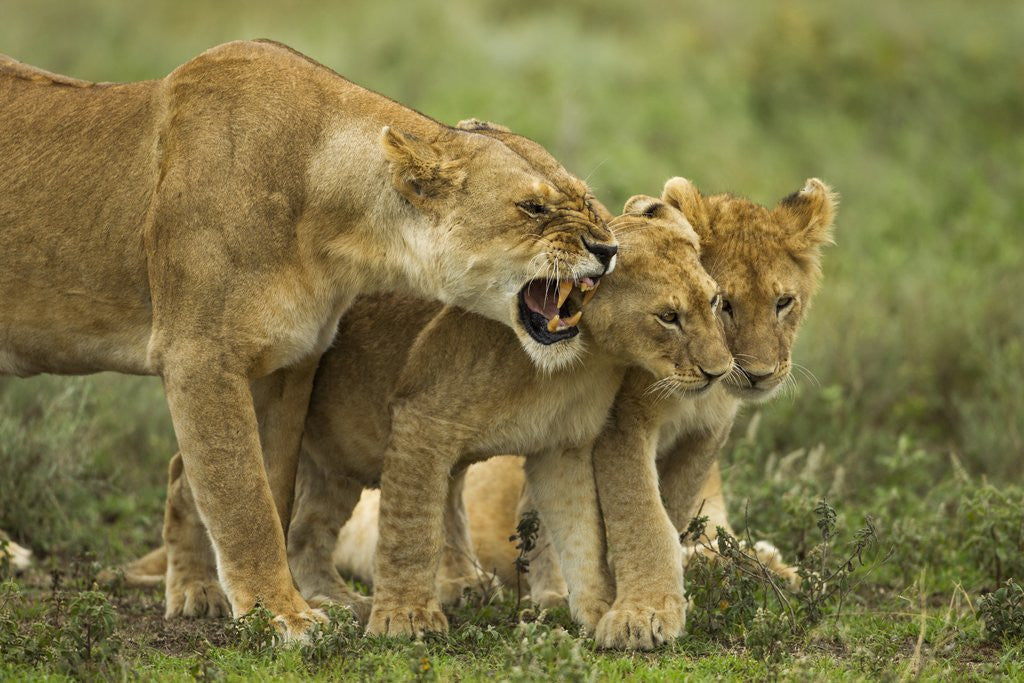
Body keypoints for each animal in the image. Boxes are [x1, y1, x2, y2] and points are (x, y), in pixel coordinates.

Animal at [0, 40, 615, 640]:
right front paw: (282, 616)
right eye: (532, 207)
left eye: (585, 200)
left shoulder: (289, 363)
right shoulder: (199, 356)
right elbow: (241, 496)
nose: (608, 249)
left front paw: (268, 606)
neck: (333, 226)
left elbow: (269, 488)